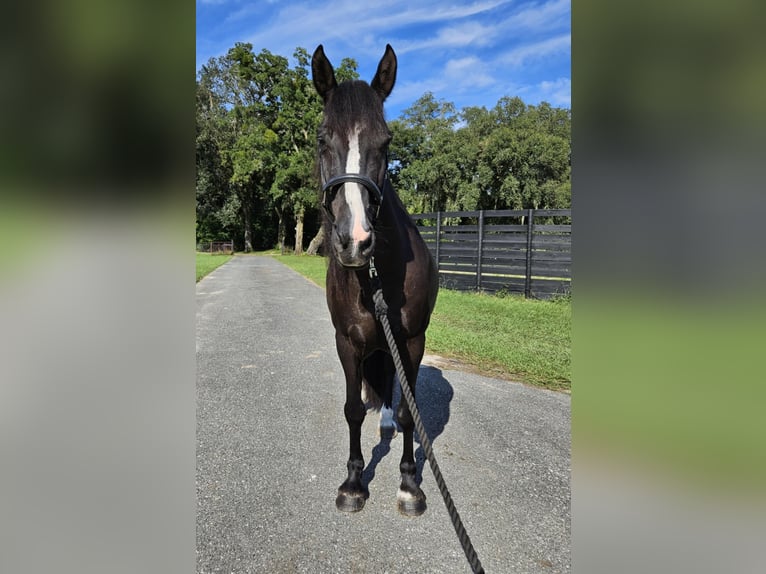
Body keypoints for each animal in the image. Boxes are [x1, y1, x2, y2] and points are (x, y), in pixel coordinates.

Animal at [311, 44, 439, 516]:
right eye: (322, 138)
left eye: (386, 142)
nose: (355, 240)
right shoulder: (346, 341)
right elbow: (351, 409)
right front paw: (353, 483)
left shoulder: (412, 341)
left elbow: (409, 413)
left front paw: (410, 484)